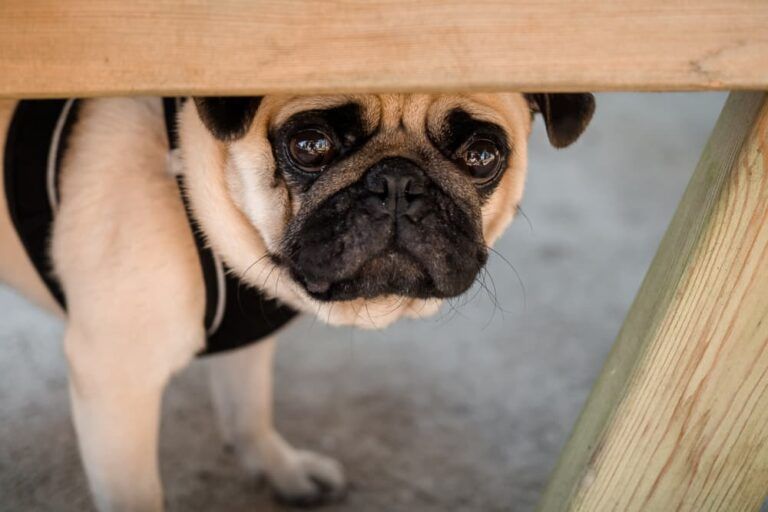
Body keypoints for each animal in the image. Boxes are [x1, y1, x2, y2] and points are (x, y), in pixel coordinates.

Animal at [0, 93, 592, 512]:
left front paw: (277, 468)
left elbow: (248, 409)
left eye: (482, 156)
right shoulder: (118, 379)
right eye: (310, 145)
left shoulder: (245, 341)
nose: (398, 182)